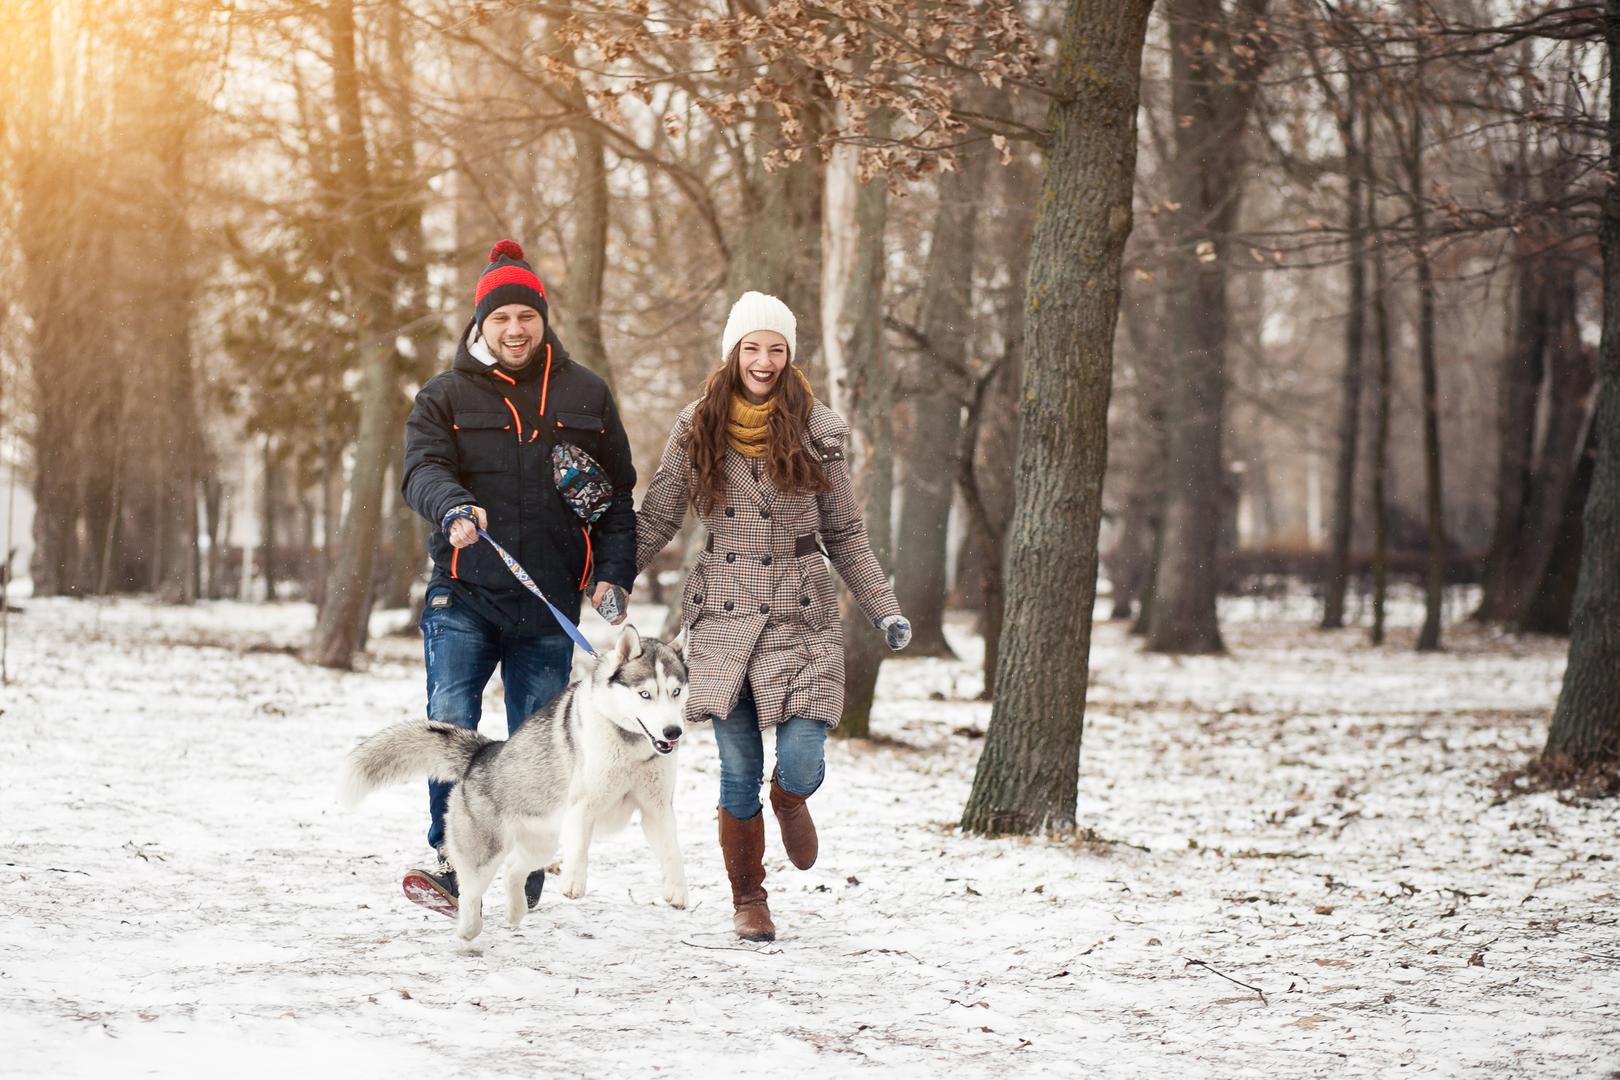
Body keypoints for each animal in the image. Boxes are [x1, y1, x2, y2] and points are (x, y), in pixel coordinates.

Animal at [341, 625, 690, 945]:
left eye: (675, 692)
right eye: (645, 694)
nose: (673, 732)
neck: (631, 744)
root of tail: (483, 752)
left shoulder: (657, 809)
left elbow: (673, 851)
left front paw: (677, 891)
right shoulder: (583, 805)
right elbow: (579, 848)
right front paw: (574, 883)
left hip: (542, 843)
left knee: (512, 870)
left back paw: (515, 911)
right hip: (486, 849)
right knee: (472, 889)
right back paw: (468, 929)